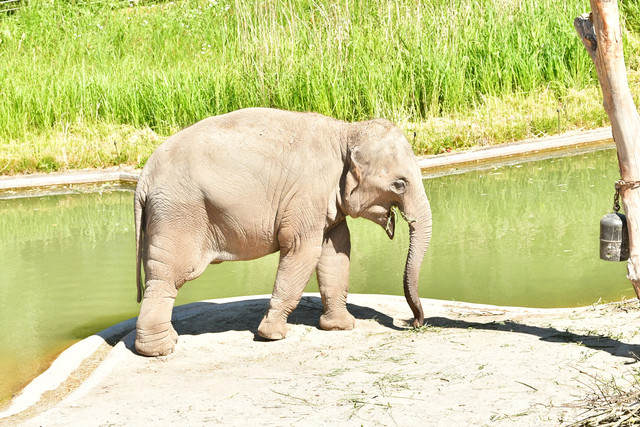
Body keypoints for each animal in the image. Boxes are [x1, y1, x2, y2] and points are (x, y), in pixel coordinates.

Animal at [133, 107, 432, 357]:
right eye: (399, 184)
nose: (413, 322)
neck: (345, 131)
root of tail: (144, 178)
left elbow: (335, 250)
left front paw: (341, 326)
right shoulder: (307, 195)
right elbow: (303, 251)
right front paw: (273, 335)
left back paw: (169, 340)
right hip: (178, 214)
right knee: (168, 276)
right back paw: (160, 350)